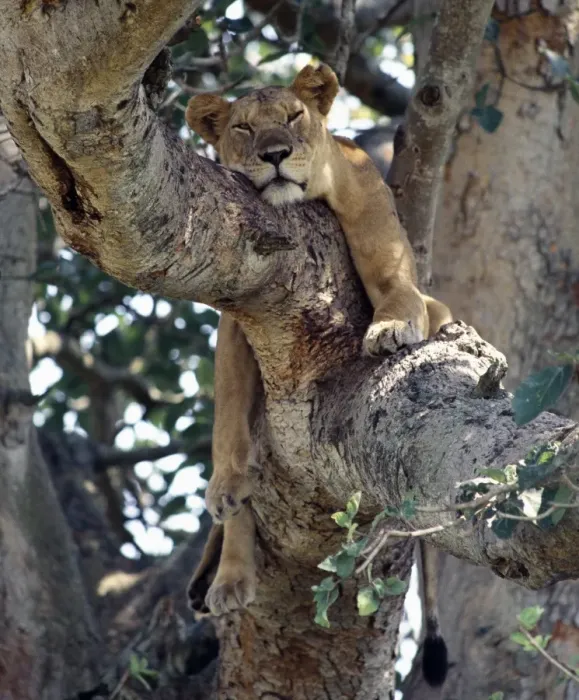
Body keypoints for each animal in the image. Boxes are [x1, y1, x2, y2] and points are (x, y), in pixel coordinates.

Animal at [185, 64, 450, 685]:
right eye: (241, 128)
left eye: (293, 116)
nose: (275, 154)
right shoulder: (235, 322)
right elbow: (227, 416)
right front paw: (225, 486)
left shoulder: (396, 262)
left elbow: (397, 292)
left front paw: (390, 329)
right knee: (250, 481)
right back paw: (228, 577)